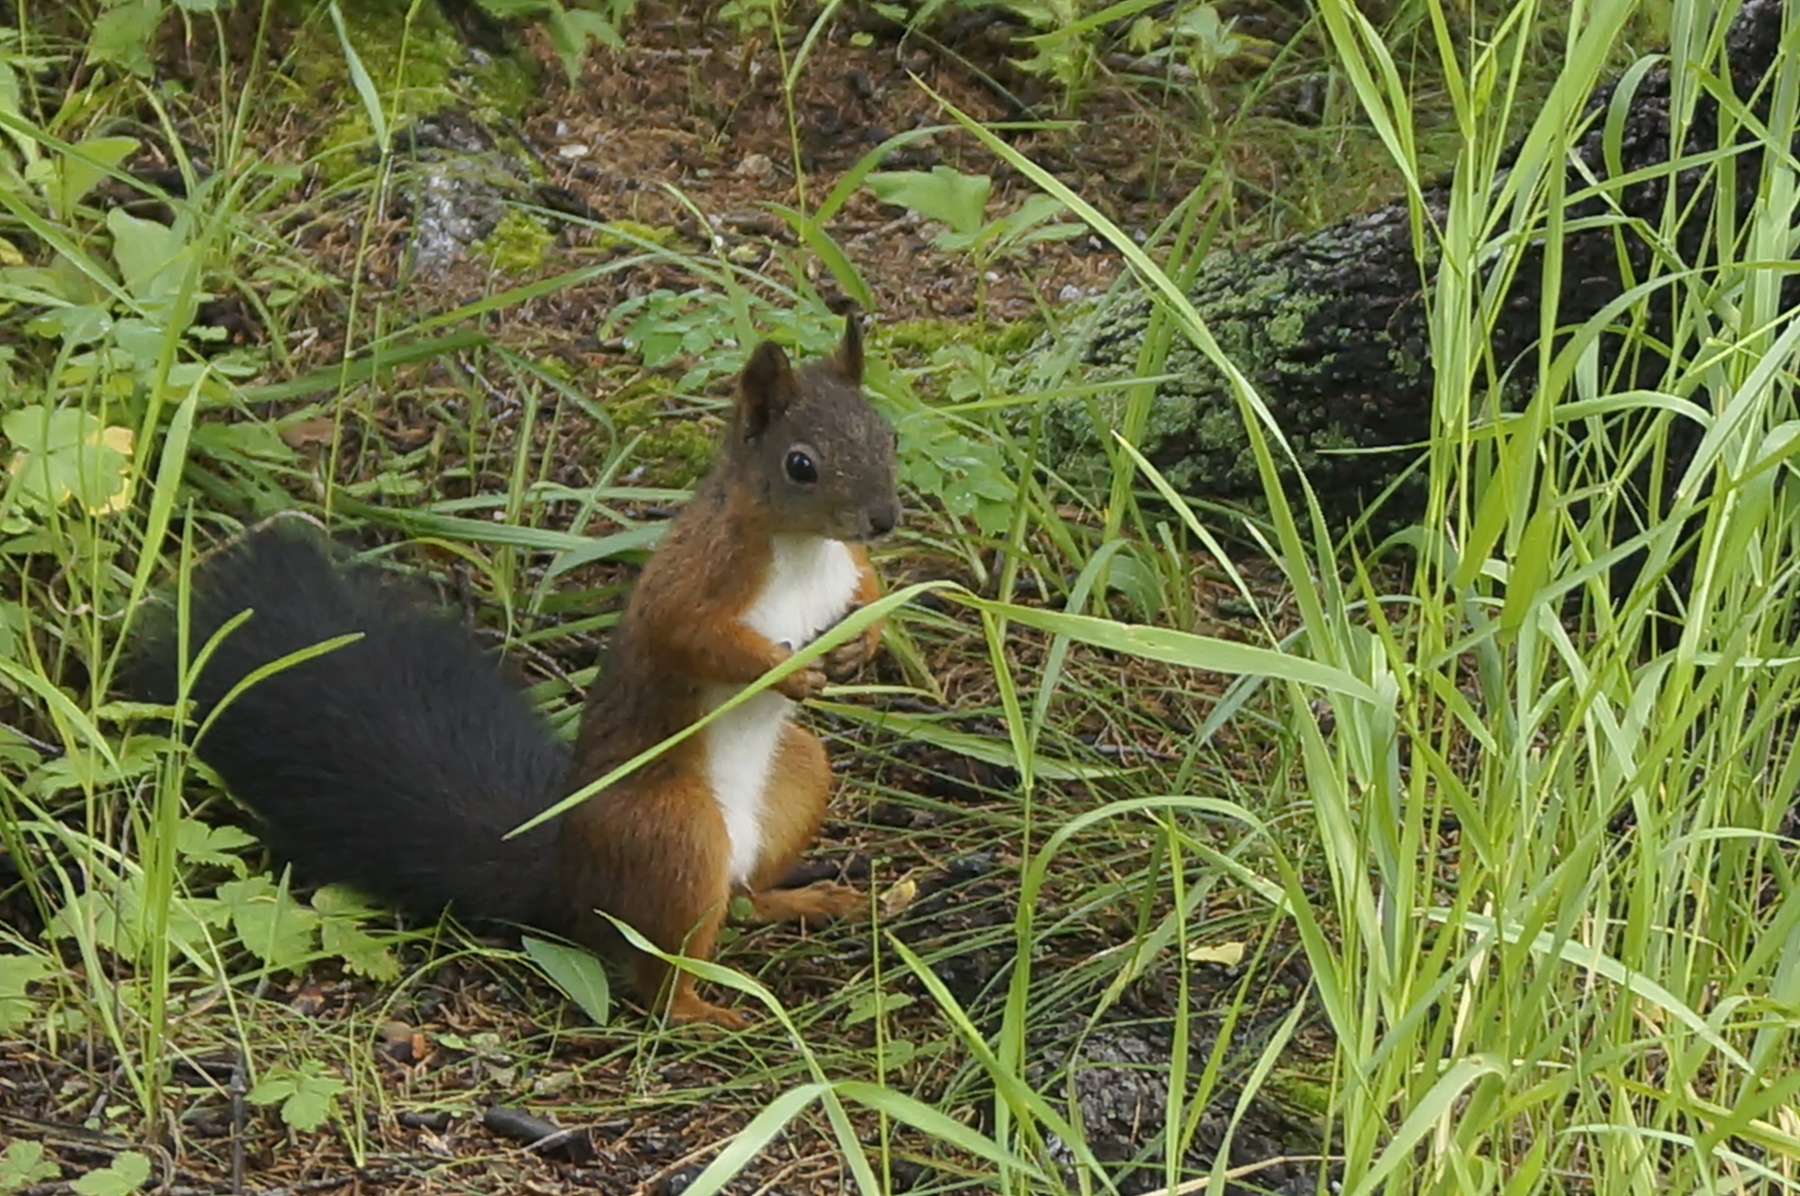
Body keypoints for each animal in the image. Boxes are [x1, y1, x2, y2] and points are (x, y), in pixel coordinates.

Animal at [129, 317, 900, 1028]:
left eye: (888, 434)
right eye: (801, 465)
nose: (885, 519)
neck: (802, 550)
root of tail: (572, 883)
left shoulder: (842, 567)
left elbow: (868, 584)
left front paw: (865, 640)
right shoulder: (699, 575)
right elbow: (688, 636)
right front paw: (787, 672)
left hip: (797, 777)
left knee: (742, 900)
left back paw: (803, 899)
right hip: (674, 834)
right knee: (658, 972)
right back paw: (701, 1011)